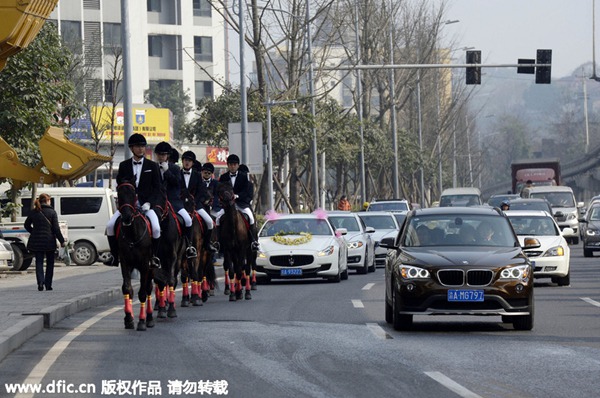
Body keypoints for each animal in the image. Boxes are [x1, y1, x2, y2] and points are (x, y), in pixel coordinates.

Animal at [113, 182, 154, 332]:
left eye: (133, 193)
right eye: (119, 194)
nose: (126, 217)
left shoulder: (145, 265)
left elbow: (142, 292)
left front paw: (141, 321)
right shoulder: (125, 262)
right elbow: (127, 288)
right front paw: (128, 318)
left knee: (148, 288)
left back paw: (149, 318)